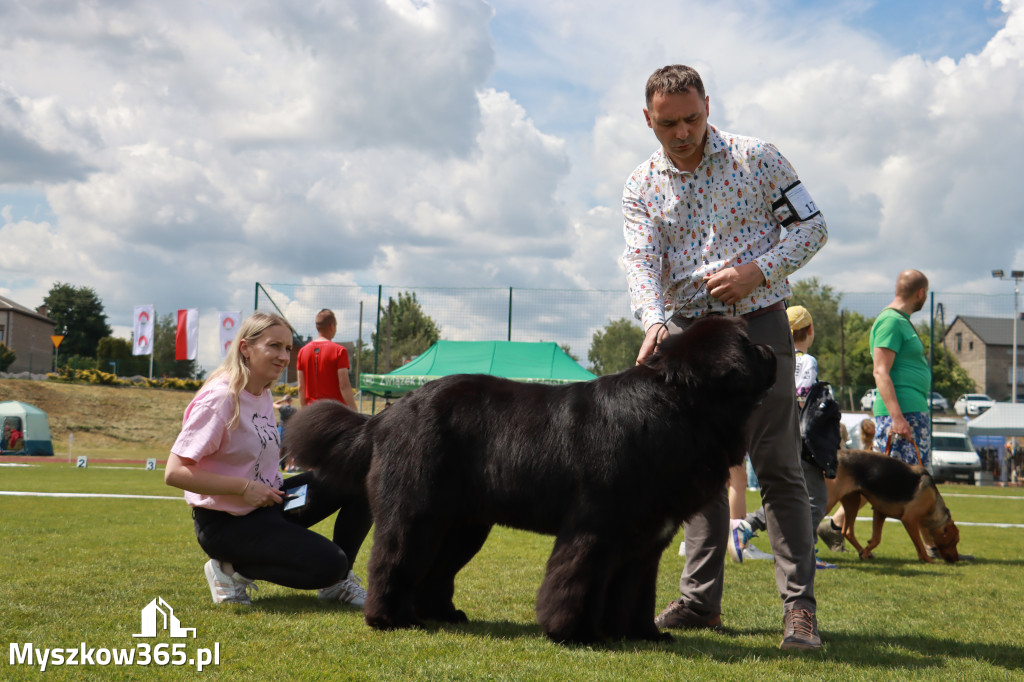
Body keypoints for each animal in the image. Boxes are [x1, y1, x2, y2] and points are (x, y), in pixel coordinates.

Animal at [288, 315, 774, 638]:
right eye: (750, 345)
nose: (772, 351)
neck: (677, 407)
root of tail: (387, 414)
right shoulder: (595, 528)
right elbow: (576, 581)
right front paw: (574, 632)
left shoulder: (644, 541)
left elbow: (636, 591)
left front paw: (642, 634)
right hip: (417, 511)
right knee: (394, 559)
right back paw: (390, 619)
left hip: (463, 524)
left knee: (435, 569)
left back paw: (441, 614)